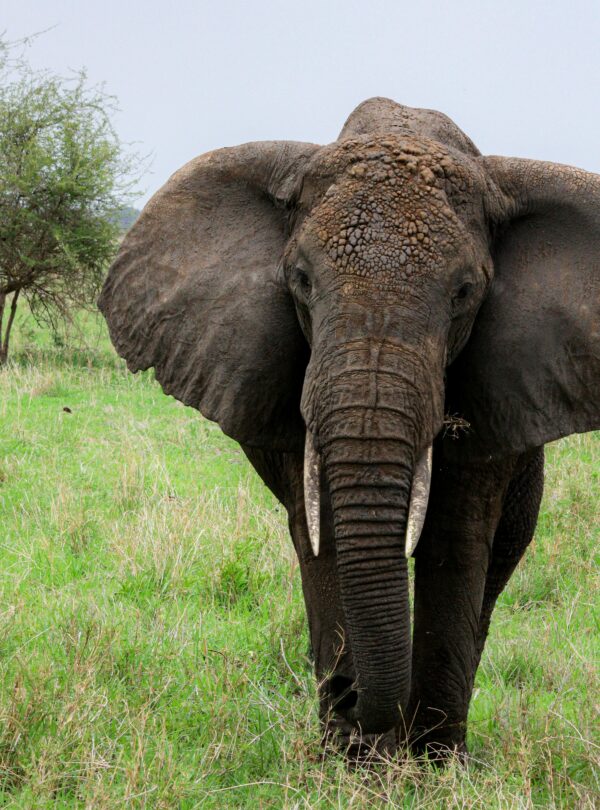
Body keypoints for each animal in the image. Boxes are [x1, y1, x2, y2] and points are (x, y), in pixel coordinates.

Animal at [98, 98, 599, 760]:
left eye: (465, 292)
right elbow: (324, 535)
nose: (344, 693)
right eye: (301, 280)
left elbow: (455, 540)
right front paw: (353, 761)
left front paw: (432, 764)